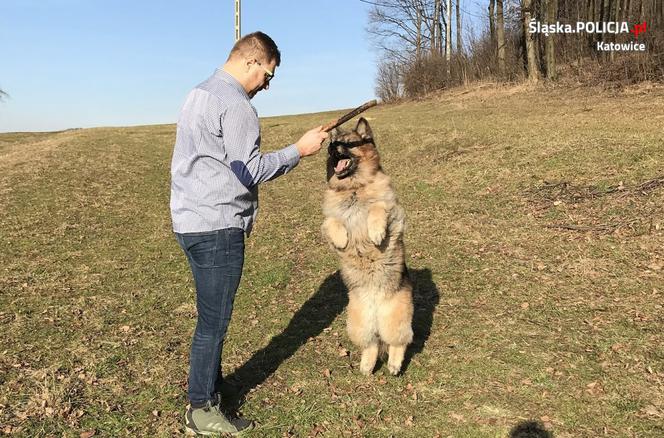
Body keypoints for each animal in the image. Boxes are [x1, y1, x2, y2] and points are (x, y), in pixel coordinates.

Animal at [320, 117, 412, 376]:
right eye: (332, 144)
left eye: (348, 143)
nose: (330, 149)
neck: (353, 188)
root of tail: (375, 308)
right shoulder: (328, 218)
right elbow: (332, 221)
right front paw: (341, 239)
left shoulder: (393, 211)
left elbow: (378, 208)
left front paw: (376, 233)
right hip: (358, 323)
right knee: (371, 345)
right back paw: (367, 365)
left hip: (396, 318)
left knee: (398, 343)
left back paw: (394, 365)